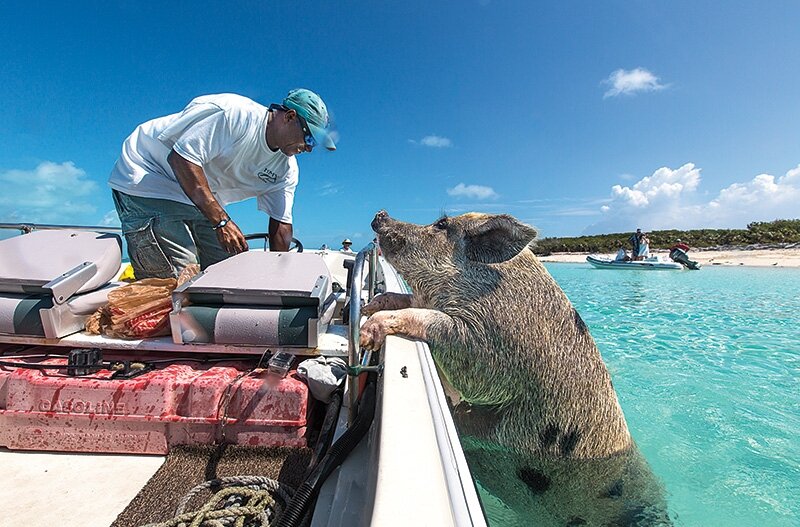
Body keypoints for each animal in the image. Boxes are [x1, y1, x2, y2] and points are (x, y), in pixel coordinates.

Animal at [360, 211, 668, 527]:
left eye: (442, 224)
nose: (381, 214)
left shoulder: (491, 346)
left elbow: (444, 332)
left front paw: (367, 331)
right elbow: (409, 300)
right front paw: (370, 307)